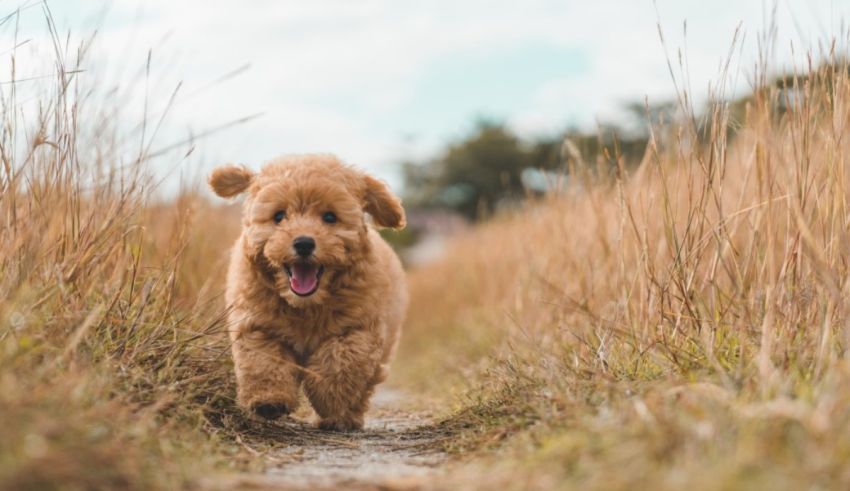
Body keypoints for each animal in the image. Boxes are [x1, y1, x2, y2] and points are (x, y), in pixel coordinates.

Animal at [205, 154, 404, 430]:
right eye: (279, 216)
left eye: (330, 217)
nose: (303, 243)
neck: (306, 305)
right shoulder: (258, 324)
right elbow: (263, 361)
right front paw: (268, 400)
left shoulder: (357, 327)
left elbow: (340, 361)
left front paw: (330, 398)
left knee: (365, 385)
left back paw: (343, 418)